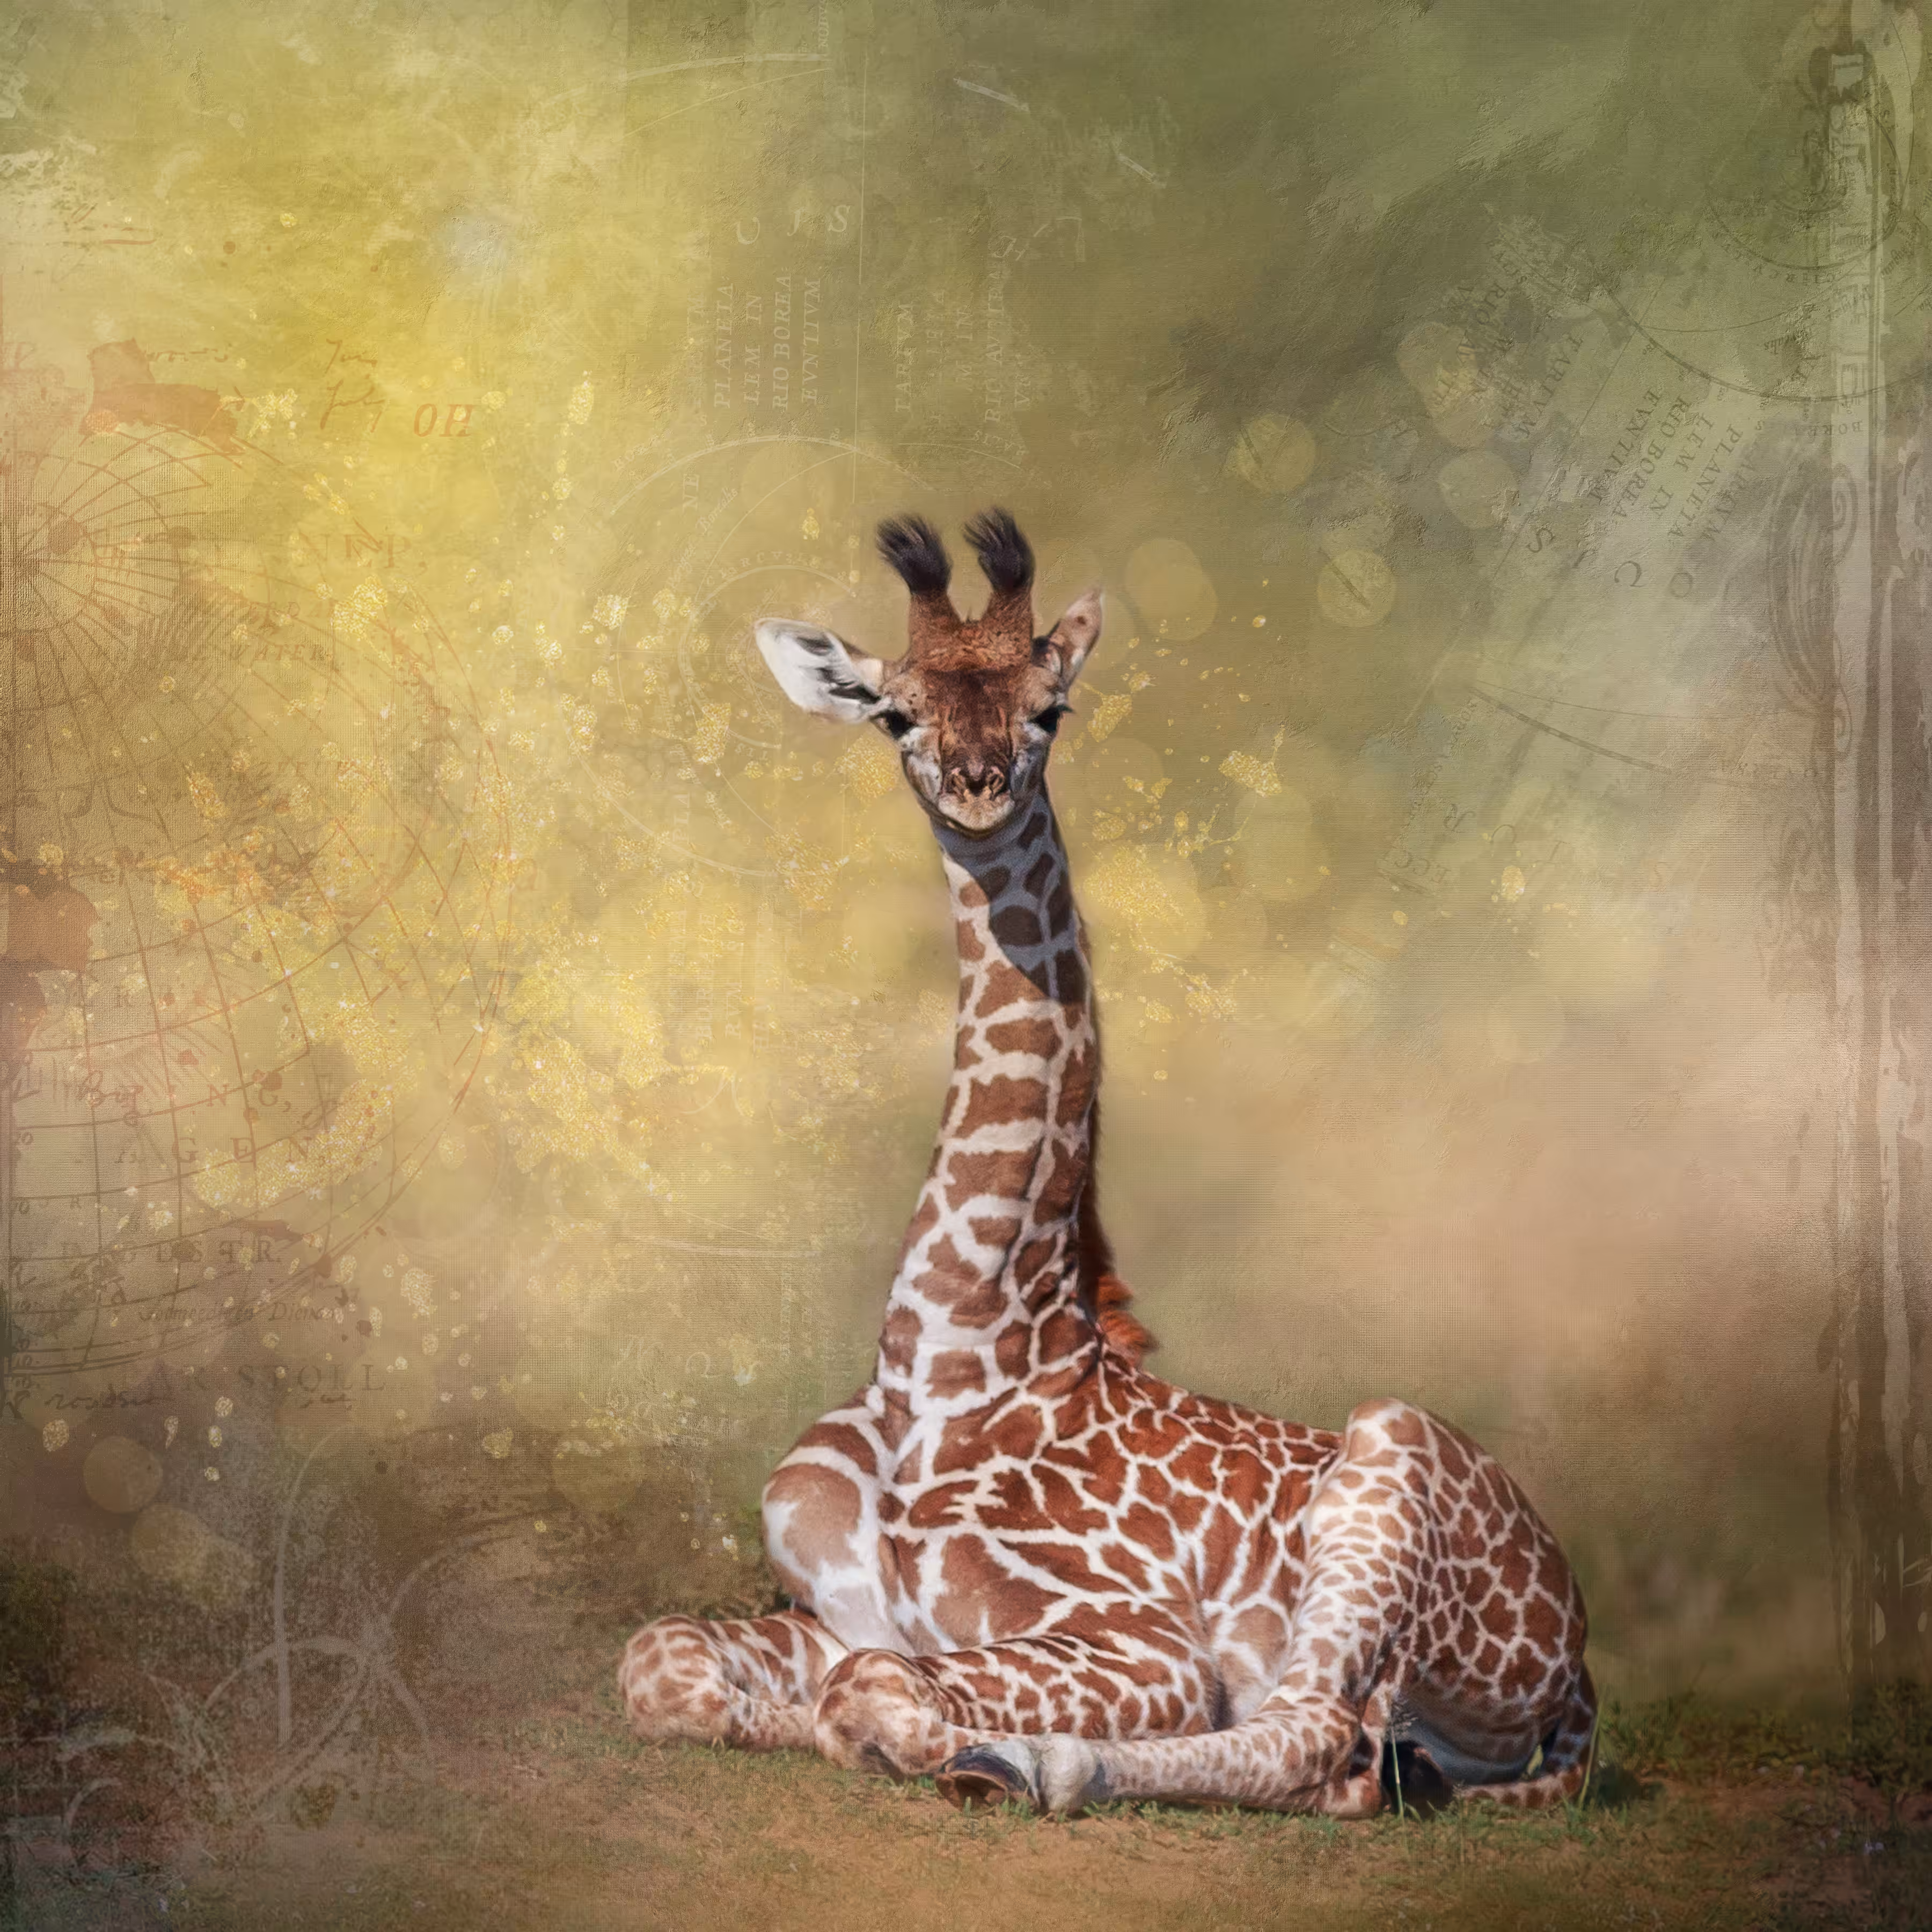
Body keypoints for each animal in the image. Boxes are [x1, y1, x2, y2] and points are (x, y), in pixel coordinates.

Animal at [618, 509, 1595, 1818]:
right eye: (896, 715)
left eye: (1051, 707)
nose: (979, 788)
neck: (949, 1361)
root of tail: (1579, 1652)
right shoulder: (830, 1611)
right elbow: (665, 1663)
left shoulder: (1148, 1642)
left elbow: (873, 1695)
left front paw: (963, 1747)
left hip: (1388, 1472)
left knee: (1315, 1739)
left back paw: (1048, 1762)